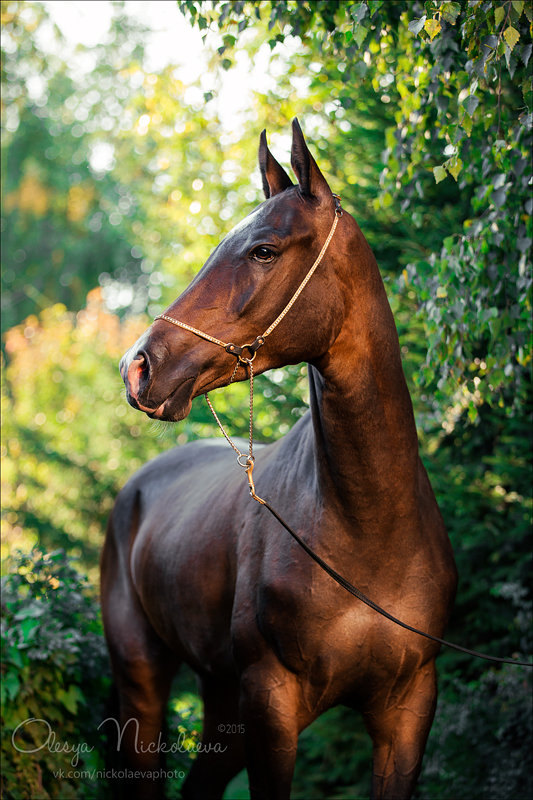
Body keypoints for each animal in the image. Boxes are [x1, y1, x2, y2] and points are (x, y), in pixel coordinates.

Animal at [101, 120, 458, 800]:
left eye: (264, 250)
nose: (139, 367)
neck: (366, 531)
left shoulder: (409, 711)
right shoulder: (271, 705)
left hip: (222, 700)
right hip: (143, 682)